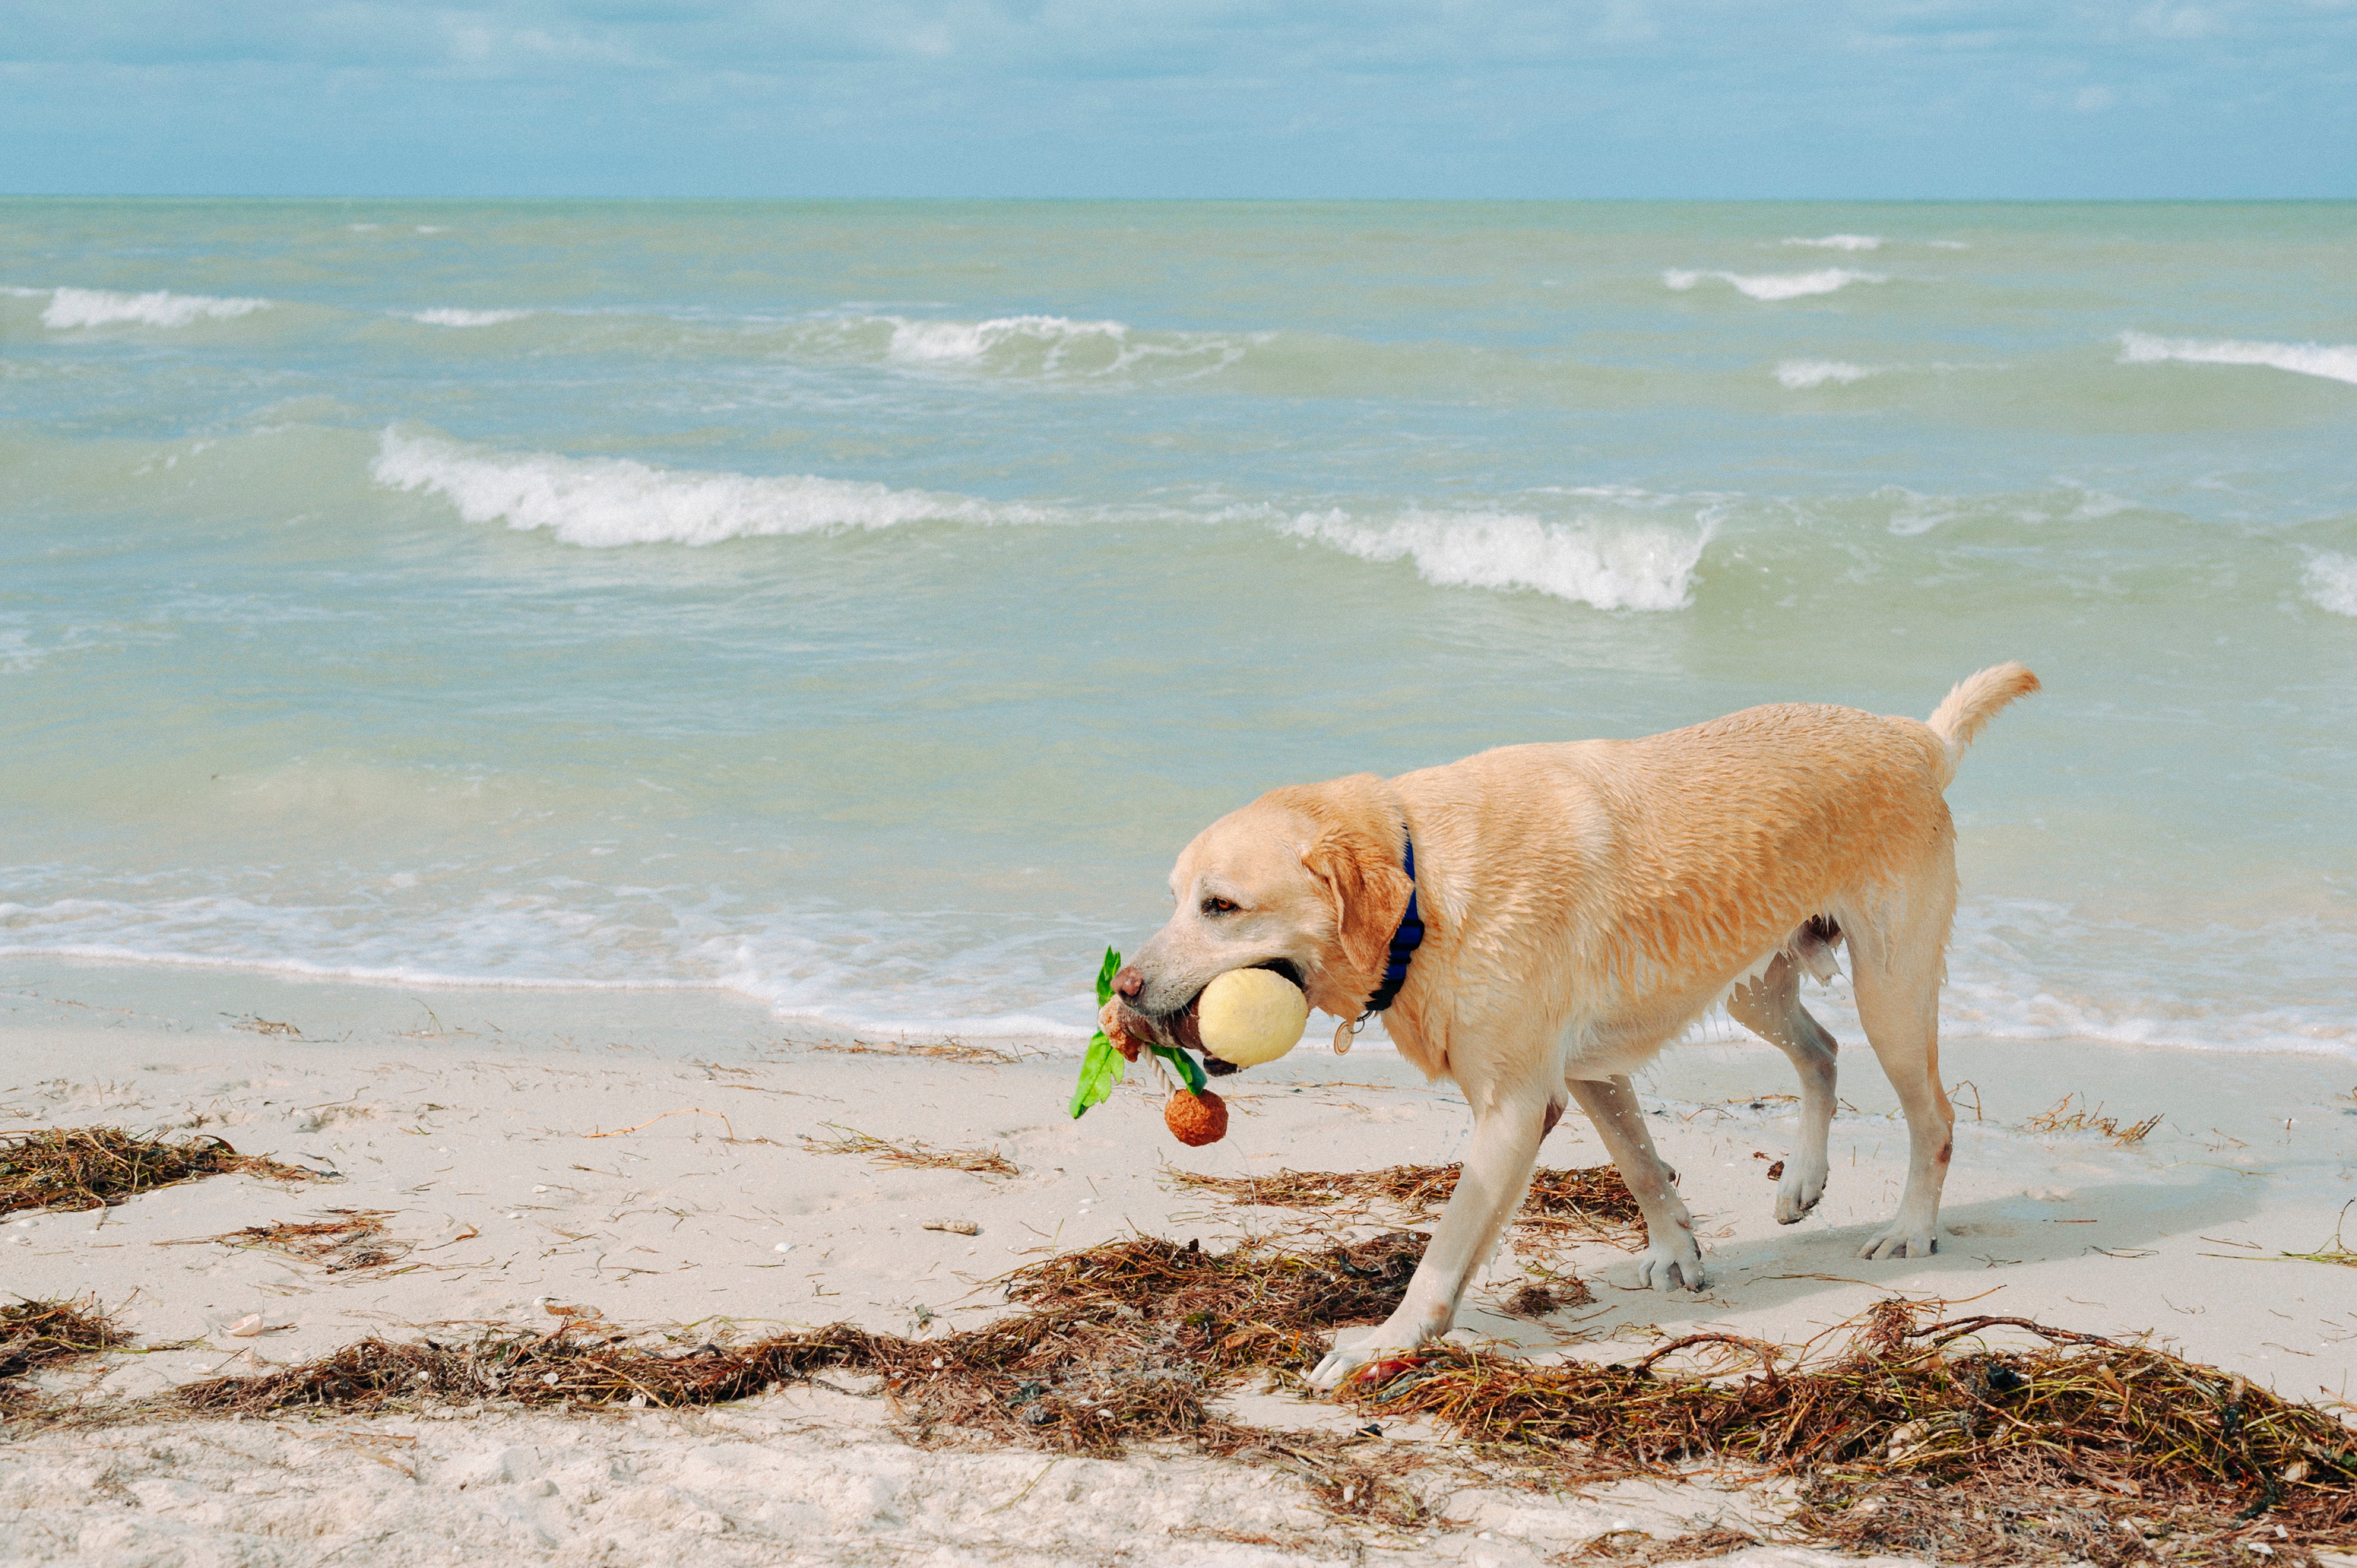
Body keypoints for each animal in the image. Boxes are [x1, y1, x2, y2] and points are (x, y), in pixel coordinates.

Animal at [1103, 655, 2046, 1386]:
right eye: (1178, 897)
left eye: (1221, 906)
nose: (1127, 991)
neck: (1423, 888)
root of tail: (1915, 738)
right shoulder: (1588, 1068)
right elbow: (1640, 1162)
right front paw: (1678, 1247)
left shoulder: (1517, 1104)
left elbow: (1447, 1247)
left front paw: (1388, 1342)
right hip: (1753, 978)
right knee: (1820, 1049)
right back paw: (1802, 1180)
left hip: (1892, 987)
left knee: (1934, 1115)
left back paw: (1911, 1228)